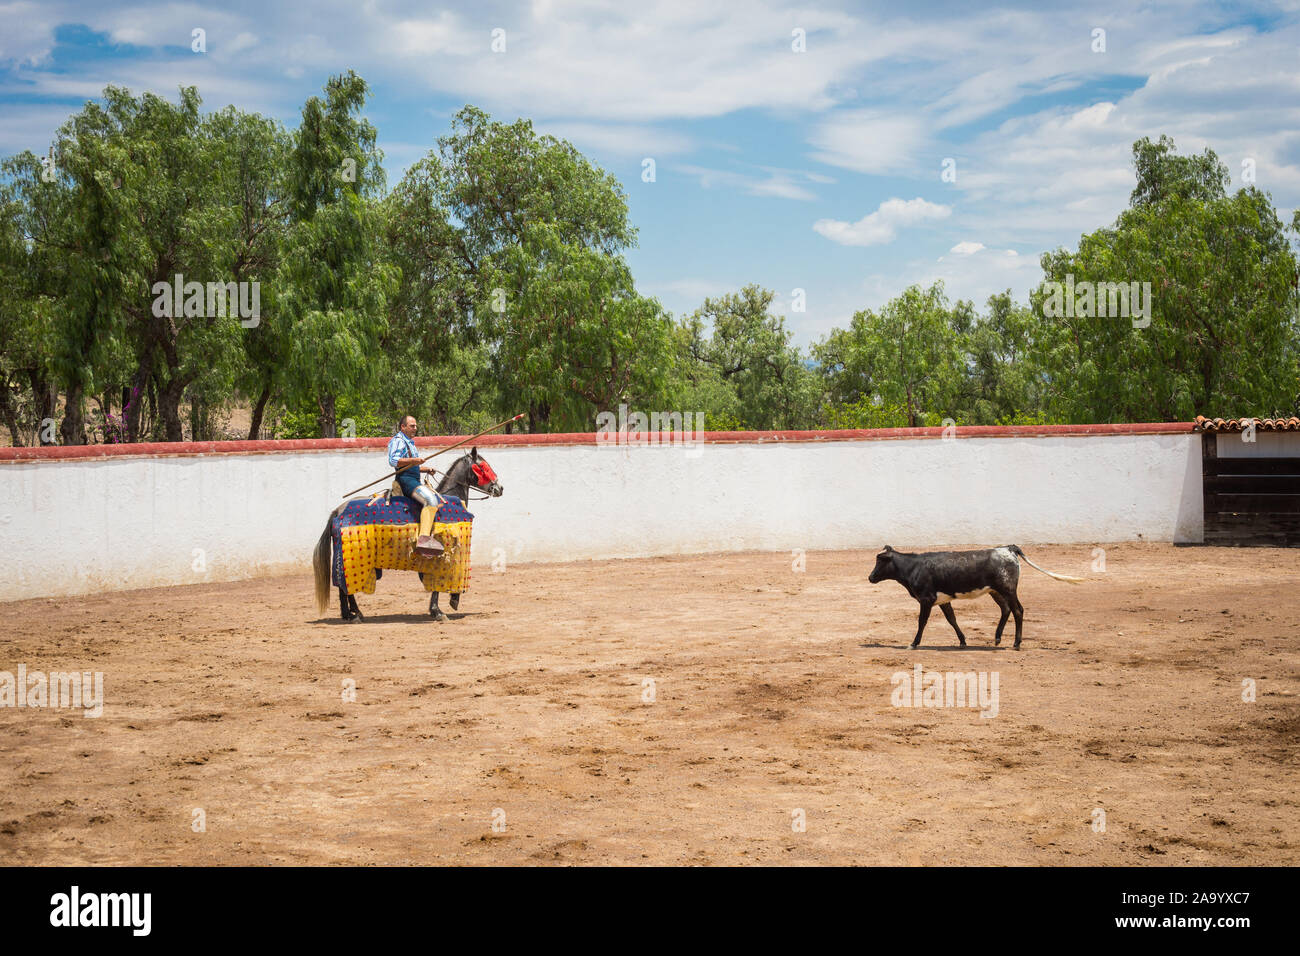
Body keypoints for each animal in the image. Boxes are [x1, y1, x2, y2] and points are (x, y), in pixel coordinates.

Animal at [867, 544, 1083, 650]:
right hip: (996, 591)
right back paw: (997, 638)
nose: (870, 577)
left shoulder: (926, 600)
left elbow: (922, 622)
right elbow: (952, 619)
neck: (913, 567)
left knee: (1018, 610)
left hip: (1008, 589)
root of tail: (1008, 548)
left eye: (880, 561)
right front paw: (963, 641)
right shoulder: (943, 600)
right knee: (1006, 609)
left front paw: (913, 643)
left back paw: (1016, 643)